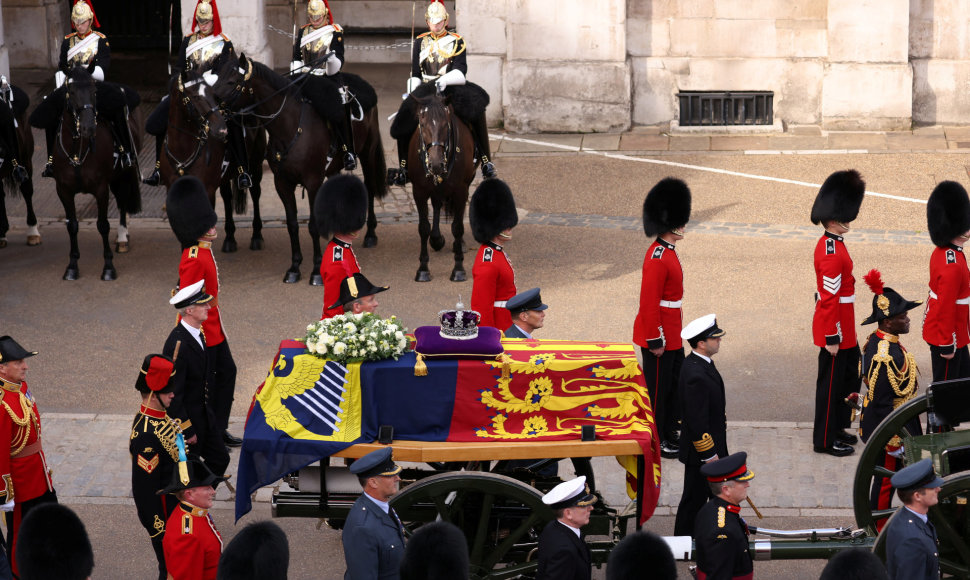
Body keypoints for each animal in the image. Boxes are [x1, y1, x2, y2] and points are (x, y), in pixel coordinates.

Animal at [51, 68, 142, 280]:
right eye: (71, 91)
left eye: (94, 91)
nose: (88, 127)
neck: (77, 150)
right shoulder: (63, 190)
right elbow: (72, 225)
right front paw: (72, 266)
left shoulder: (101, 189)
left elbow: (103, 225)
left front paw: (108, 267)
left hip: (122, 175)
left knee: (122, 201)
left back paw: (123, 238)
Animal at [157, 70, 266, 251]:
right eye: (195, 96)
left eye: (213, 95)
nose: (222, 129)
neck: (183, 149)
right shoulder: (173, 189)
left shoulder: (207, 190)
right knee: (227, 197)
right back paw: (229, 238)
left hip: (256, 164)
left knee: (256, 192)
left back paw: (257, 236)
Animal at [214, 53, 388, 284]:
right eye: (218, 75)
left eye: (232, 81)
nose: (212, 108)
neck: (289, 126)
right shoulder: (282, 183)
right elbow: (292, 225)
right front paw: (295, 267)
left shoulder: (312, 181)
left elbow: (312, 226)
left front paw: (316, 271)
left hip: (368, 153)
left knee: (369, 187)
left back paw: (370, 234)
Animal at [406, 92, 474, 284]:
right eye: (422, 123)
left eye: (446, 123)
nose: (436, 164)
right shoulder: (419, 191)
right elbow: (423, 228)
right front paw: (423, 269)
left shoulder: (461, 191)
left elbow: (458, 227)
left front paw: (458, 269)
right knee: (436, 205)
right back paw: (436, 239)